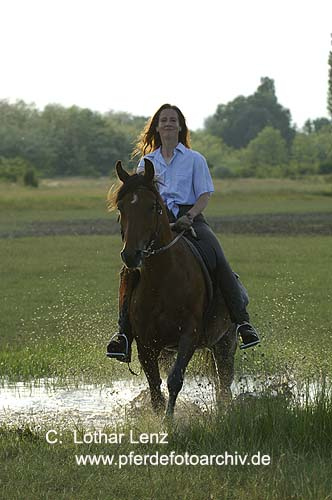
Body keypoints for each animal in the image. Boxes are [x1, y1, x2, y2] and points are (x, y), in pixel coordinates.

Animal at [113, 160, 237, 418]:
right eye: (121, 207)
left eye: (152, 206)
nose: (130, 255)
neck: (162, 280)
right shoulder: (146, 343)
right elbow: (154, 387)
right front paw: (156, 418)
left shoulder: (188, 336)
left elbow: (174, 380)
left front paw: (170, 422)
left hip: (225, 343)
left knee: (224, 384)